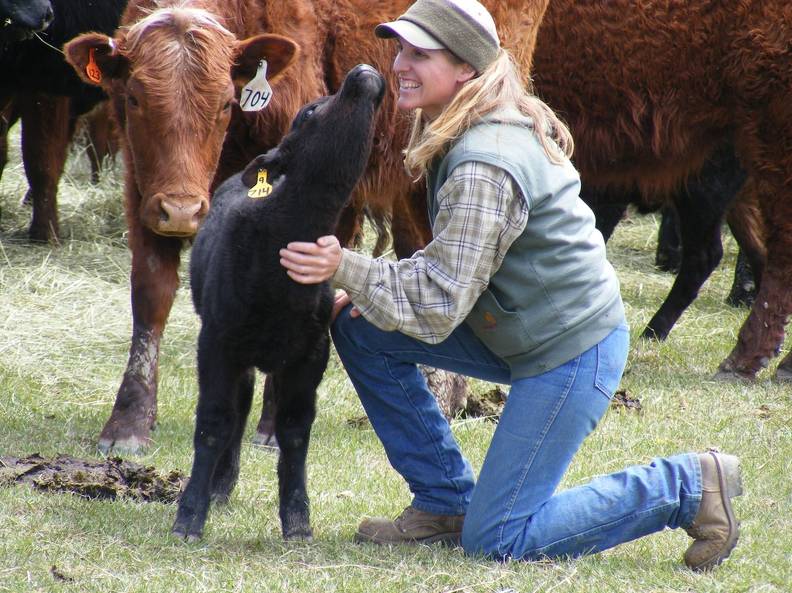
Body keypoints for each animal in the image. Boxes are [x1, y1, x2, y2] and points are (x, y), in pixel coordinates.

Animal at [65, 1, 548, 454]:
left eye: (225, 102)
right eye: (134, 99)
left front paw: (273, 423)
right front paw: (128, 423)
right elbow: (151, 295)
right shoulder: (143, 189)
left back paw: (443, 395)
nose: (183, 212)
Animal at [172, 65, 386, 540]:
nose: (364, 73)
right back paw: (219, 485)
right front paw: (190, 515)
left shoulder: (311, 352)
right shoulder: (216, 342)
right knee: (237, 408)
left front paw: (298, 520)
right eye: (308, 112)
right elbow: (213, 422)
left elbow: (295, 430)